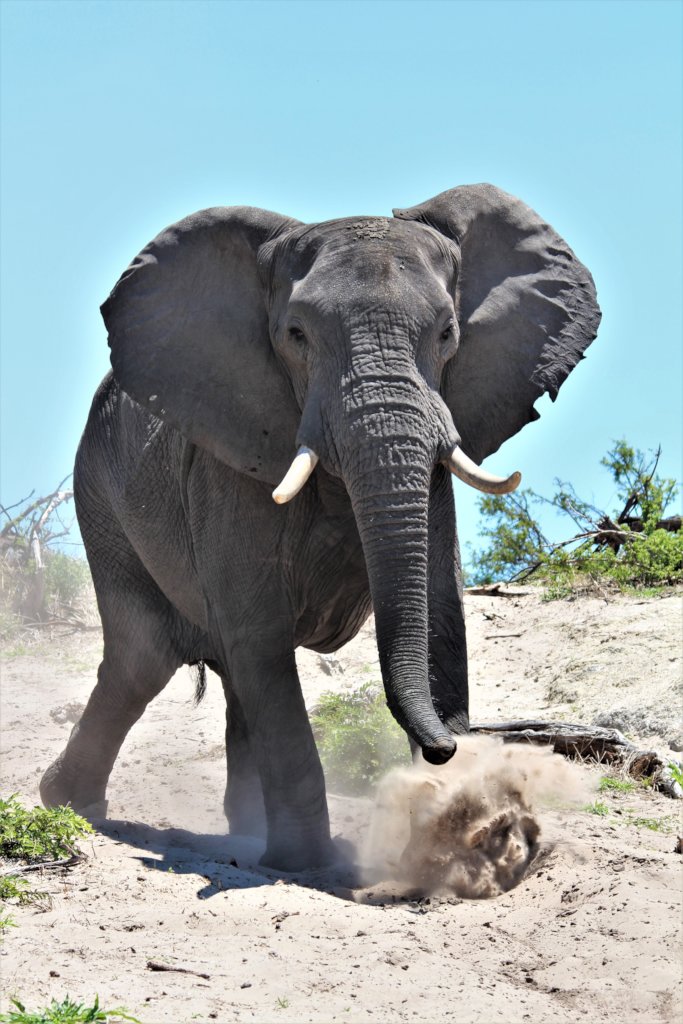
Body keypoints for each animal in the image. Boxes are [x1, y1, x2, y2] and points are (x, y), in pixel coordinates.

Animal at [40, 183, 600, 871]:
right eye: (296, 334)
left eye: (447, 332)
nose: (444, 748)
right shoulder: (231, 459)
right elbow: (261, 637)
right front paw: (308, 865)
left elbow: (440, 616)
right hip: (100, 494)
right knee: (144, 658)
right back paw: (69, 804)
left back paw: (240, 827)